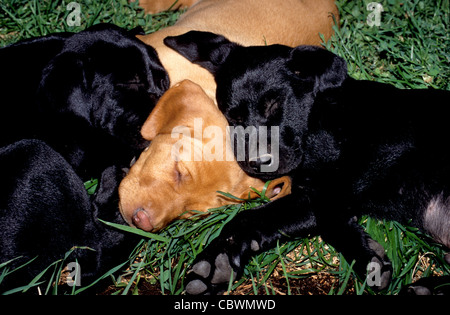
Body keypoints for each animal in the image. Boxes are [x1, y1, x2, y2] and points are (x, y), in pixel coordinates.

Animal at [165, 30, 450, 296]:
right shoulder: (308, 194)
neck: (319, 118)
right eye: (233, 117)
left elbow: (328, 213)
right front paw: (217, 261)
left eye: (274, 105)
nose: (258, 163)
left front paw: (366, 256)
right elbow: (252, 218)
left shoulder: (382, 151)